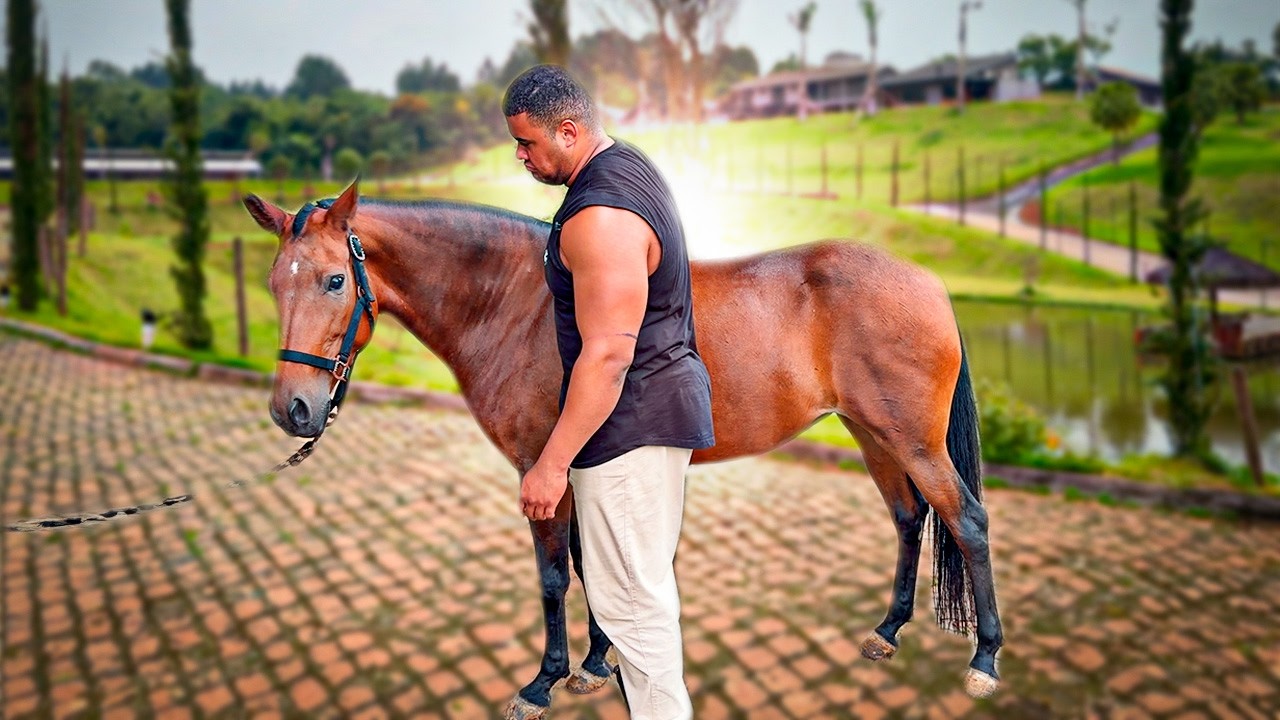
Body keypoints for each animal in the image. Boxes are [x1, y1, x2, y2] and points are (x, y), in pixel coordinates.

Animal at [243, 180, 1003, 718]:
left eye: (334, 280)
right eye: (275, 282)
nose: (292, 409)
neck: (515, 303)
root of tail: (927, 282)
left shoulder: (542, 471)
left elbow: (555, 577)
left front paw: (545, 682)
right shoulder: (583, 471)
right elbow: (593, 567)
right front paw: (597, 663)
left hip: (913, 441)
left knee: (965, 520)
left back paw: (986, 659)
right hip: (875, 435)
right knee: (909, 519)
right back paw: (889, 629)